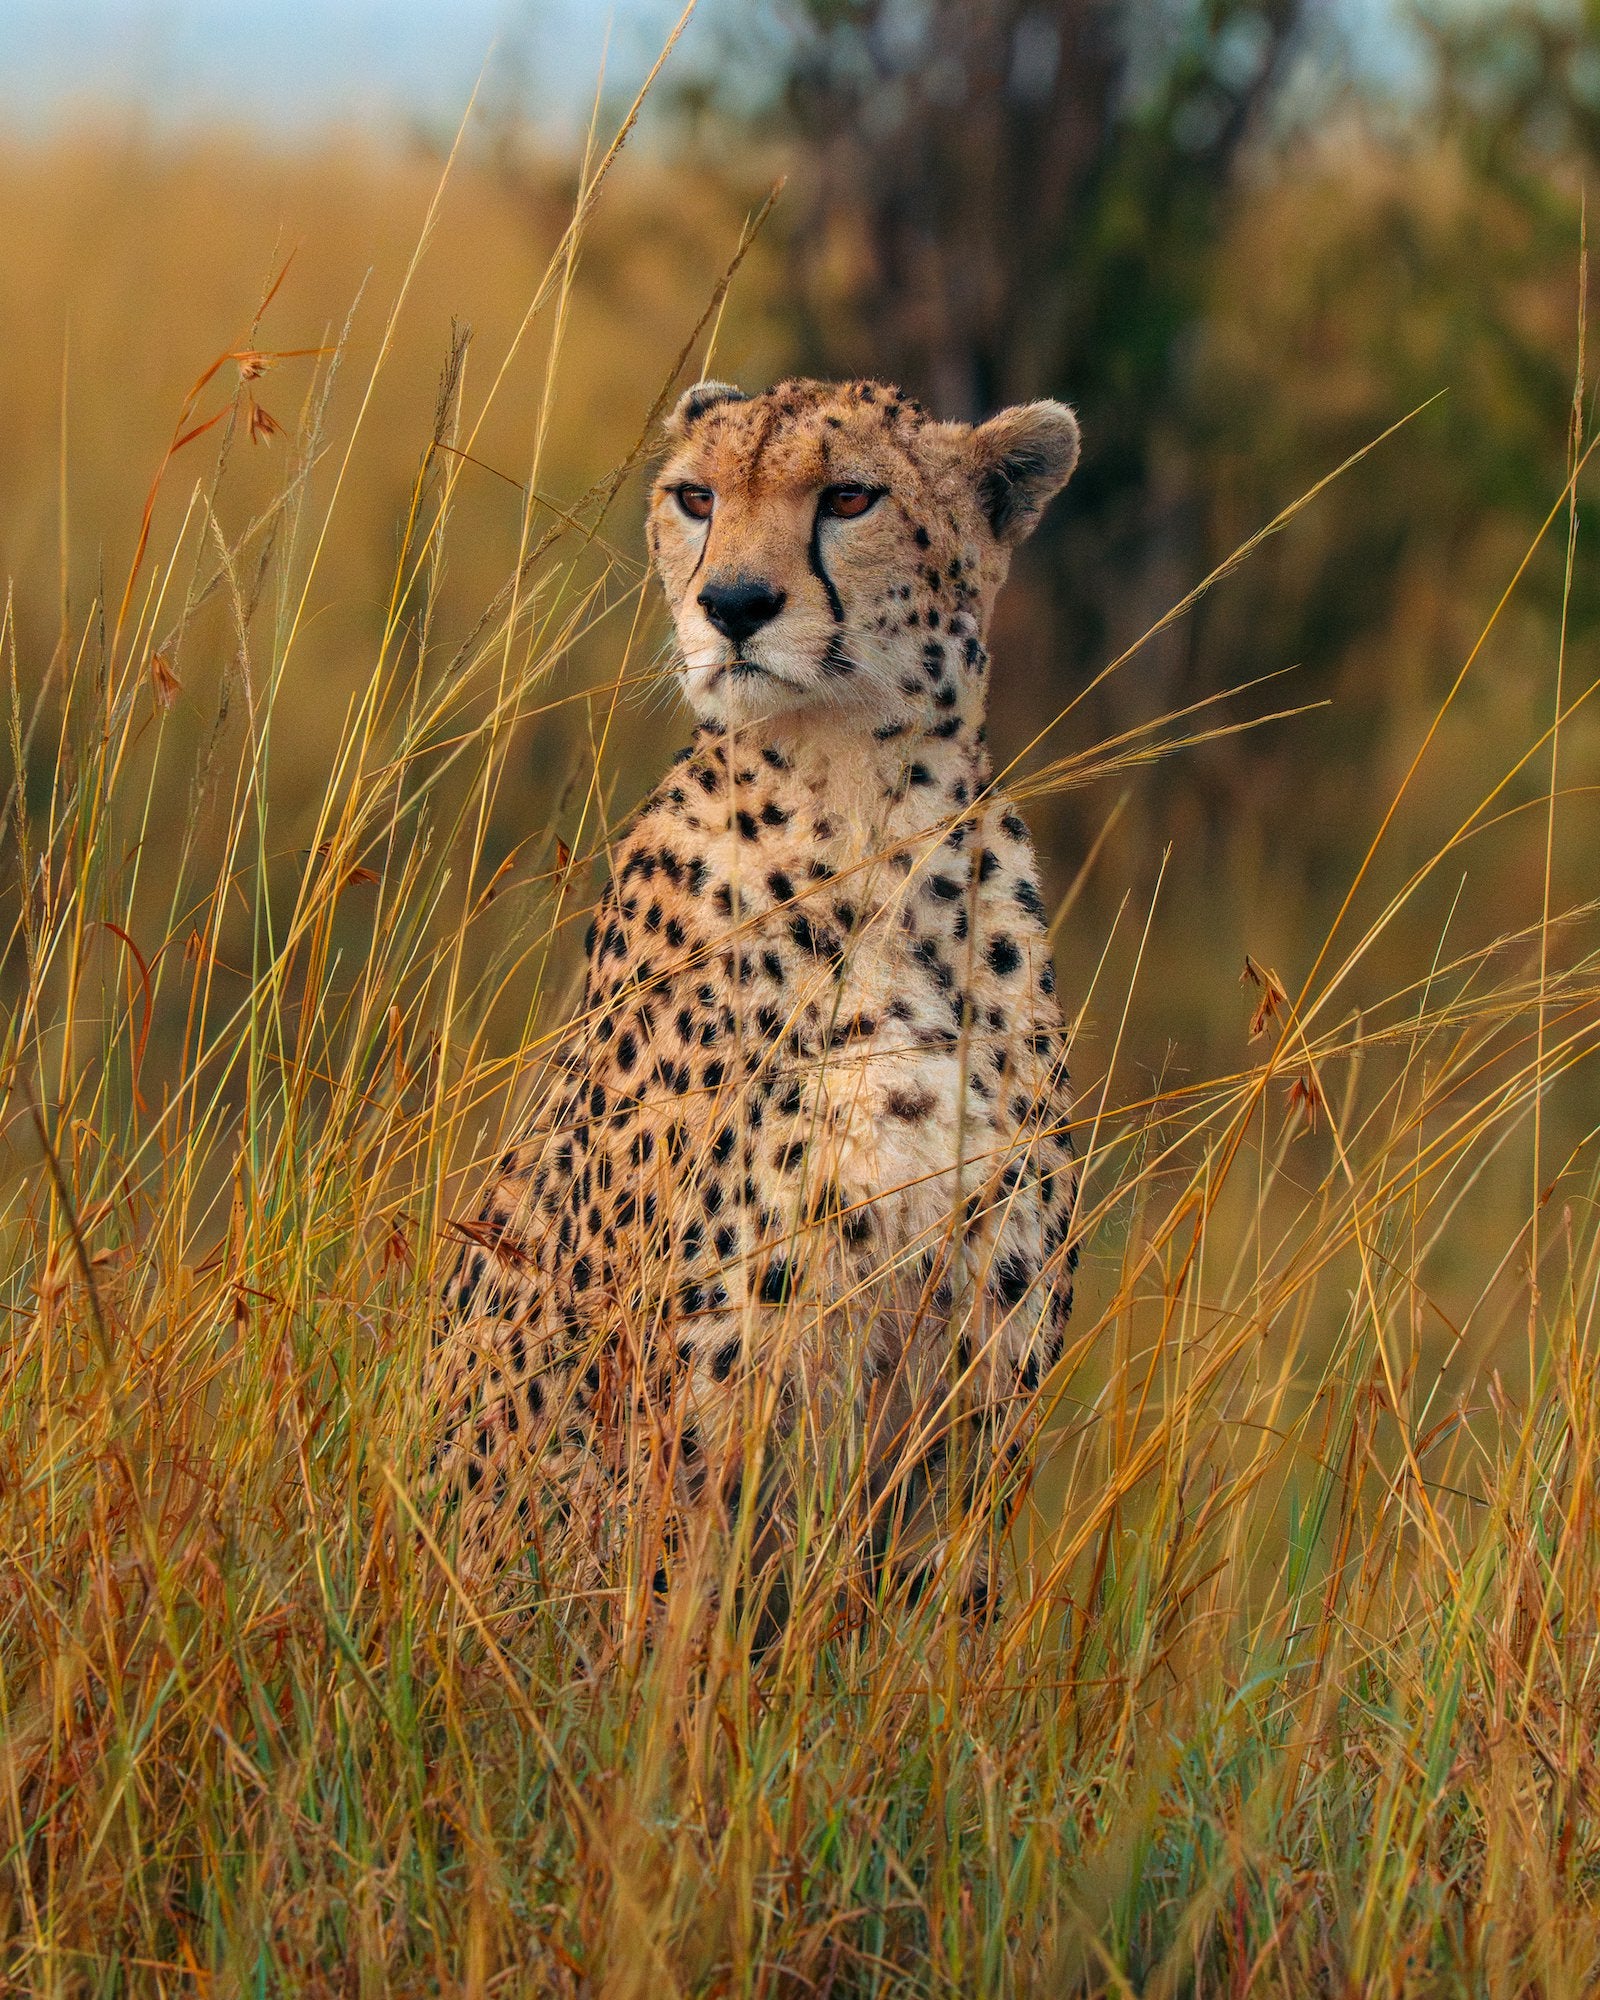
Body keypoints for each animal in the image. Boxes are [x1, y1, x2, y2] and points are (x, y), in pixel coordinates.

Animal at [425, 375, 1083, 1622]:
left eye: (850, 497)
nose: (731, 603)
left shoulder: (979, 1389)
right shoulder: (693, 1393)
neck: (863, 822)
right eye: (696, 497)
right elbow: (670, 1635)